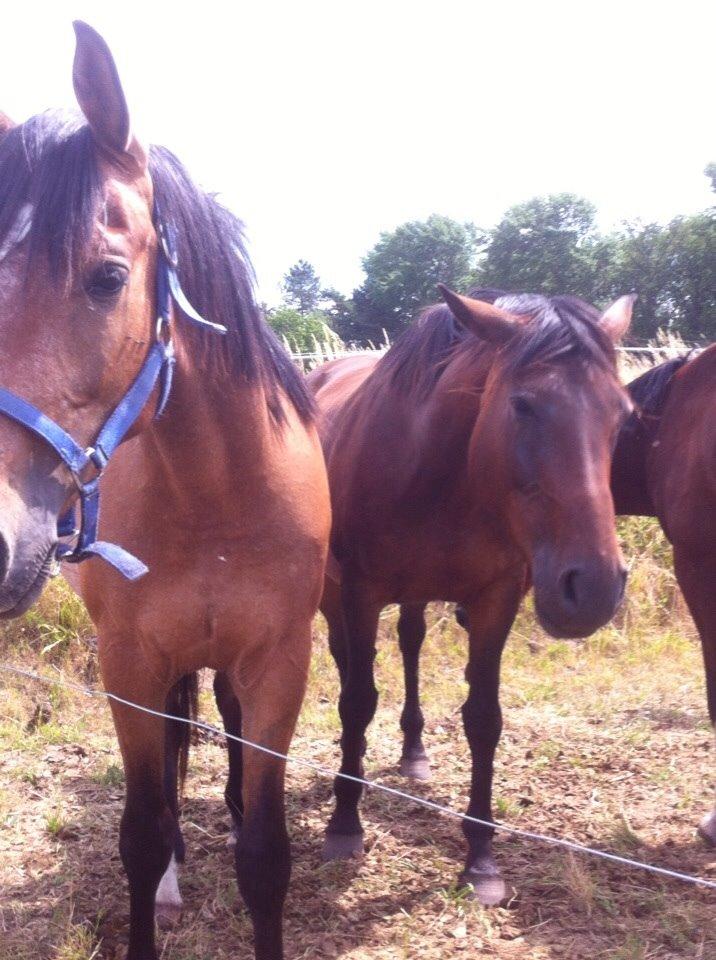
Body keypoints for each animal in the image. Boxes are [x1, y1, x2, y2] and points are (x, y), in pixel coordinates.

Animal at [0, 22, 330, 960]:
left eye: (107, 277)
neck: (217, 495)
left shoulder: (279, 661)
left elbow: (266, 854)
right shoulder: (130, 664)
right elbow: (142, 836)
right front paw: (165, 873)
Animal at [310, 288, 636, 904]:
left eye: (623, 414)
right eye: (523, 405)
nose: (594, 588)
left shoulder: (495, 598)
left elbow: (484, 718)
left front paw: (481, 858)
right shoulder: (360, 592)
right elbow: (357, 700)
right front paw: (344, 822)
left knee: (410, 642)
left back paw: (414, 753)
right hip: (333, 592)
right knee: (349, 664)